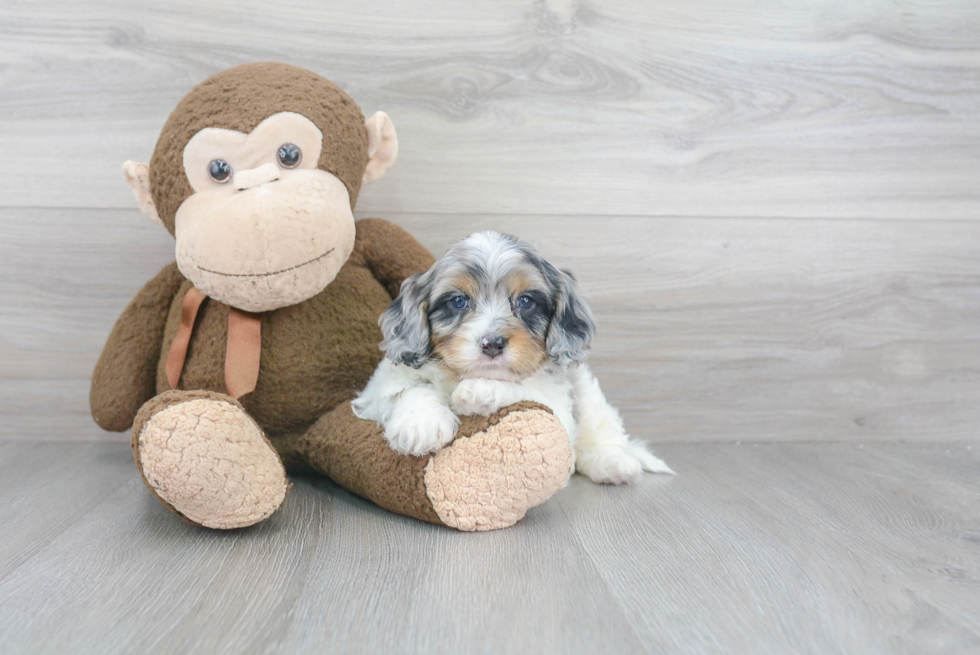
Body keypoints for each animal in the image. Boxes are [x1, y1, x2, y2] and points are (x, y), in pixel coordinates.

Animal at [352, 231, 672, 482]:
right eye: (458, 301)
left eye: (526, 301)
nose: (492, 343)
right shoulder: (377, 388)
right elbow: (410, 387)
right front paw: (420, 425)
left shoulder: (557, 409)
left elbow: (528, 390)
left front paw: (481, 389)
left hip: (589, 394)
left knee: (600, 431)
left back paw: (614, 463)